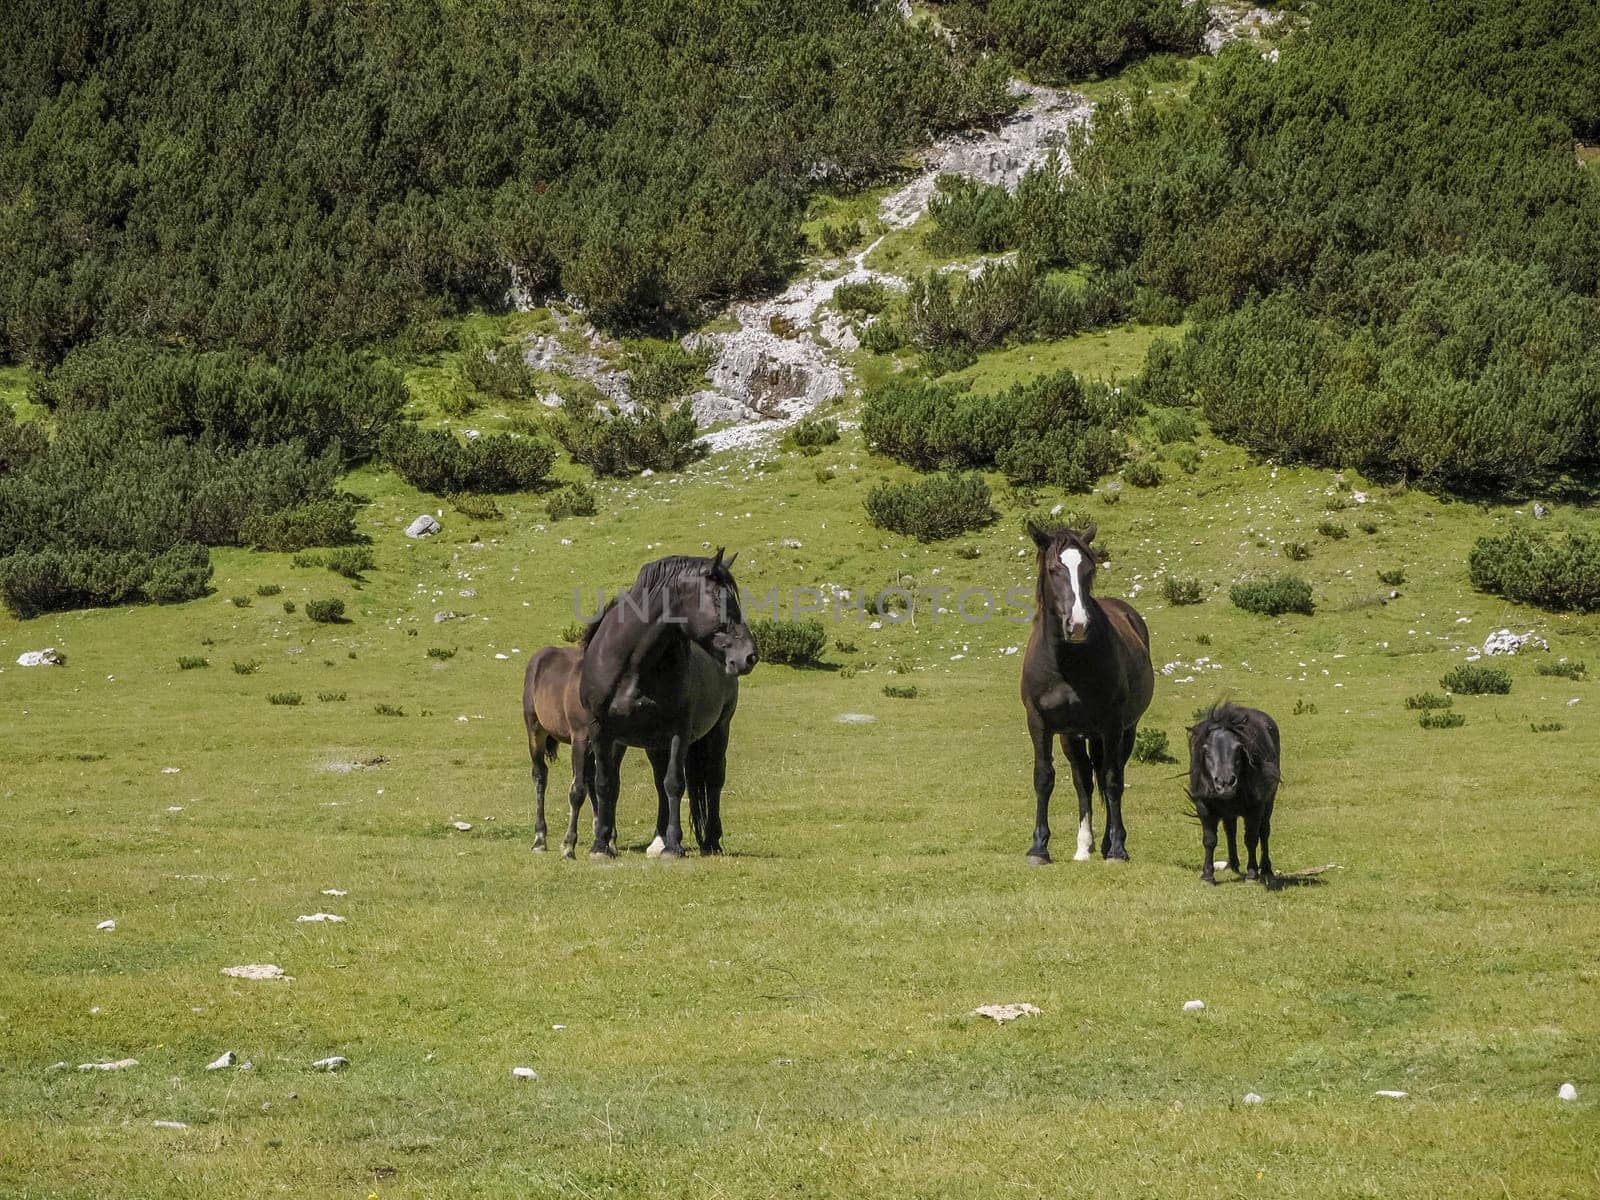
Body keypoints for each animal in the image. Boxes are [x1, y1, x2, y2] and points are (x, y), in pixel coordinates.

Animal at [524, 643, 601, 857]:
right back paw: (539, 839)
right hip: (535, 729)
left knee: (590, 777)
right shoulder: (581, 737)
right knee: (540, 775)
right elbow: (577, 791)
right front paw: (568, 845)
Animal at [579, 550, 758, 857]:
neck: (633, 665)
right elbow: (606, 783)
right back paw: (656, 839)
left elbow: (675, 783)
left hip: (719, 729)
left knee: (713, 779)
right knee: (656, 782)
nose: (749, 656)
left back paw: (710, 841)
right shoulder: (601, 730)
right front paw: (601, 845)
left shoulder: (679, 730)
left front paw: (674, 846)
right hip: (651, 743)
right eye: (719, 600)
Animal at [1190, 700, 1286, 889]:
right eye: (1206, 751)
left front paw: (1252, 874)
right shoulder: (1204, 806)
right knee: (1230, 831)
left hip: (1268, 803)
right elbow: (1210, 840)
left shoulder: (1255, 809)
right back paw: (1232, 865)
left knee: (1264, 832)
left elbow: (1251, 839)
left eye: (1239, 748)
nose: (1226, 782)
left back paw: (1266, 871)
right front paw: (1207, 875)